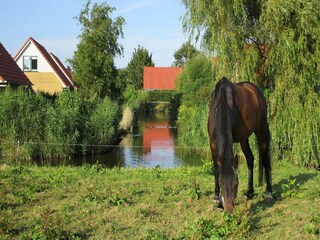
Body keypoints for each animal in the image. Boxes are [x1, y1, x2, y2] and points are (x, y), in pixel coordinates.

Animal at [208, 76, 272, 213]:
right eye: (221, 184)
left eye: (236, 184)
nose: (229, 210)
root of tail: (255, 90)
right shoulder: (212, 143)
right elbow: (216, 169)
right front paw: (217, 200)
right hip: (244, 138)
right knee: (250, 159)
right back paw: (249, 192)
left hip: (261, 131)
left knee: (265, 159)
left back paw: (269, 192)